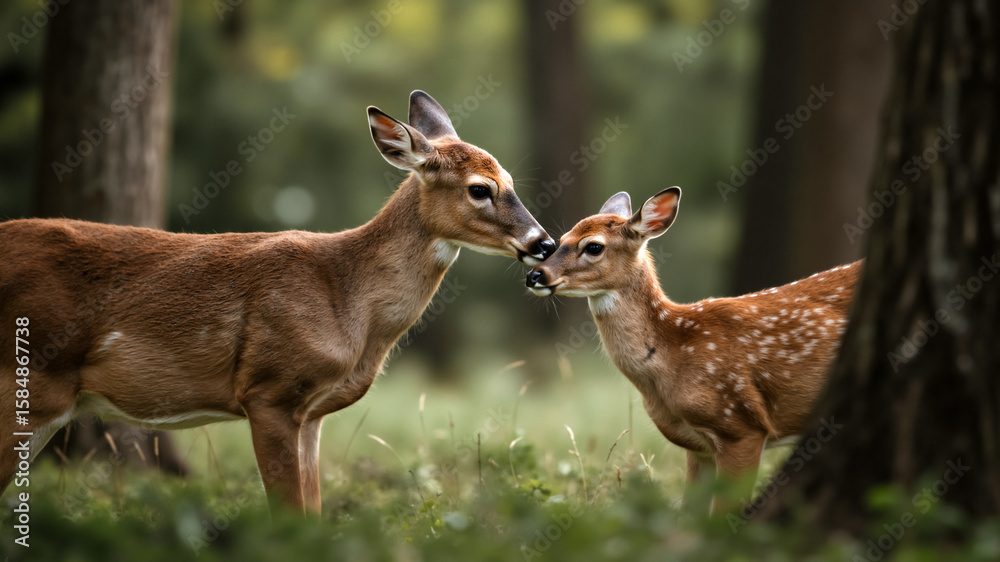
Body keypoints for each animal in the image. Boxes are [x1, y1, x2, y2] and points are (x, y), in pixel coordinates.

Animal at [0, 90, 555, 514]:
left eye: (511, 181)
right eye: (480, 189)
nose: (544, 243)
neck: (347, 300)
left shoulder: (311, 414)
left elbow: (312, 512)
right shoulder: (268, 389)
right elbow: (287, 514)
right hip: (28, 384)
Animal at [525, 187, 861, 514]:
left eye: (594, 246)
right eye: (558, 242)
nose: (535, 275)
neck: (672, 356)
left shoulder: (741, 425)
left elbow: (722, 516)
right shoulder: (698, 447)